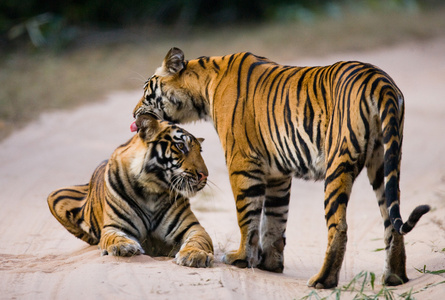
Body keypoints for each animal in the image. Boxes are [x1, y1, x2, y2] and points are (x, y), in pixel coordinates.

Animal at [47, 113, 214, 268]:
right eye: (180, 146)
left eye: (200, 151)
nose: (204, 175)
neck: (152, 189)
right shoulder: (114, 226)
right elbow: (114, 237)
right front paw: (123, 246)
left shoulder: (193, 227)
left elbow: (198, 241)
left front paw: (194, 255)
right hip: (54, 195)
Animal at [130, 47, 428, 288]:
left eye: (146, 92)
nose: (134, 115)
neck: (203, 89)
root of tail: (381, 82)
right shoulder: (278, 173)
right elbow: (274, 220)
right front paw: (270, 264)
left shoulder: (241, 163)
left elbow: (247, 217)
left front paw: (240, 258)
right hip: (384, 162)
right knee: (391, 220)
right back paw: (395, 277)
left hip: (339, 162)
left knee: (339, 226)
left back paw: (323, 280)